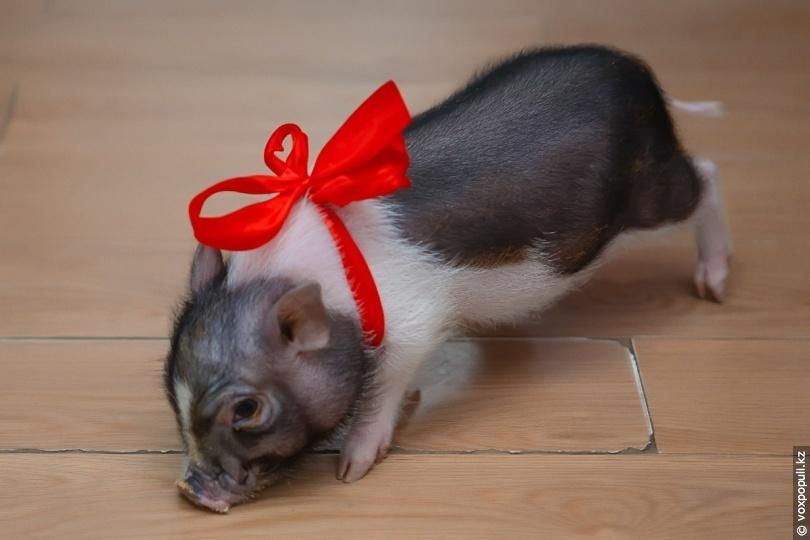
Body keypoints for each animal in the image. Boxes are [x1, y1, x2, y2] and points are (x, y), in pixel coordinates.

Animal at [164, 45, 731, 512]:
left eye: (247, 410)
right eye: (172, 388)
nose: (192, 491)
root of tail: (642, 76)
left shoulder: (415, 315)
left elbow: (384, 386)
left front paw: (351, 470)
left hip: (651, 194)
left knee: (707, 174)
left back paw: (713, 286)